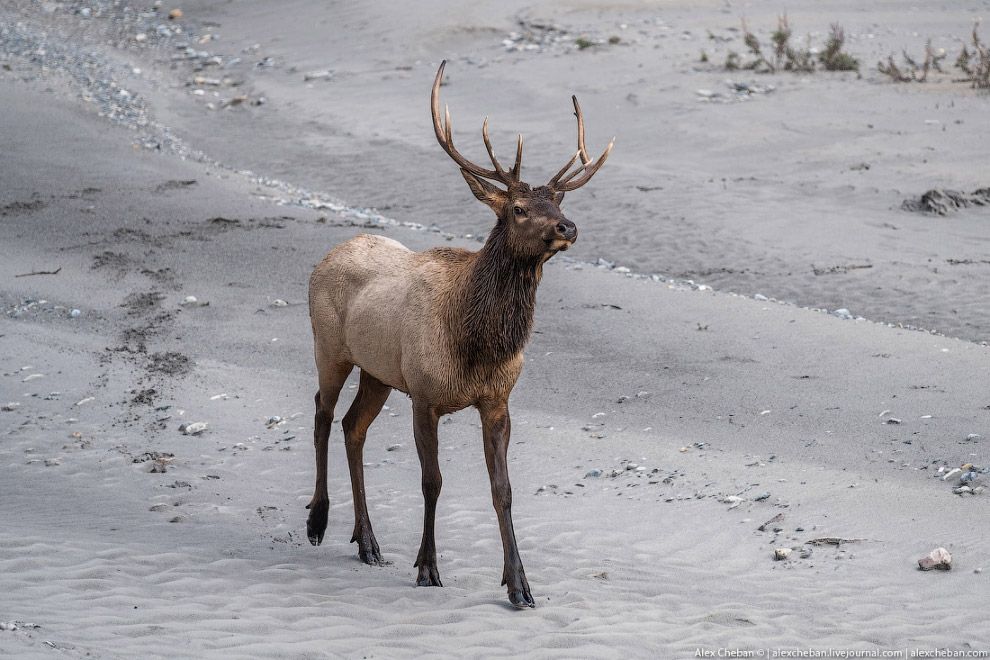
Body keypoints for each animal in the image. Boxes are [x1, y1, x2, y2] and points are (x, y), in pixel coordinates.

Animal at [304, 62, 612, 608]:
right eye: (517, 208)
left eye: (556, 201)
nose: (568, 227)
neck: (476, 344)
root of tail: (329, 254)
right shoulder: (425, 395)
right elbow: (433, 482)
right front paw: (428, 566)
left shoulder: (497, 399)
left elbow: (502, 489)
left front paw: (520, 585)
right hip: (330, 347)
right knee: (322, 413)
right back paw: (318, 522)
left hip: (379, 372)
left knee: (352, 427)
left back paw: (367, 541)